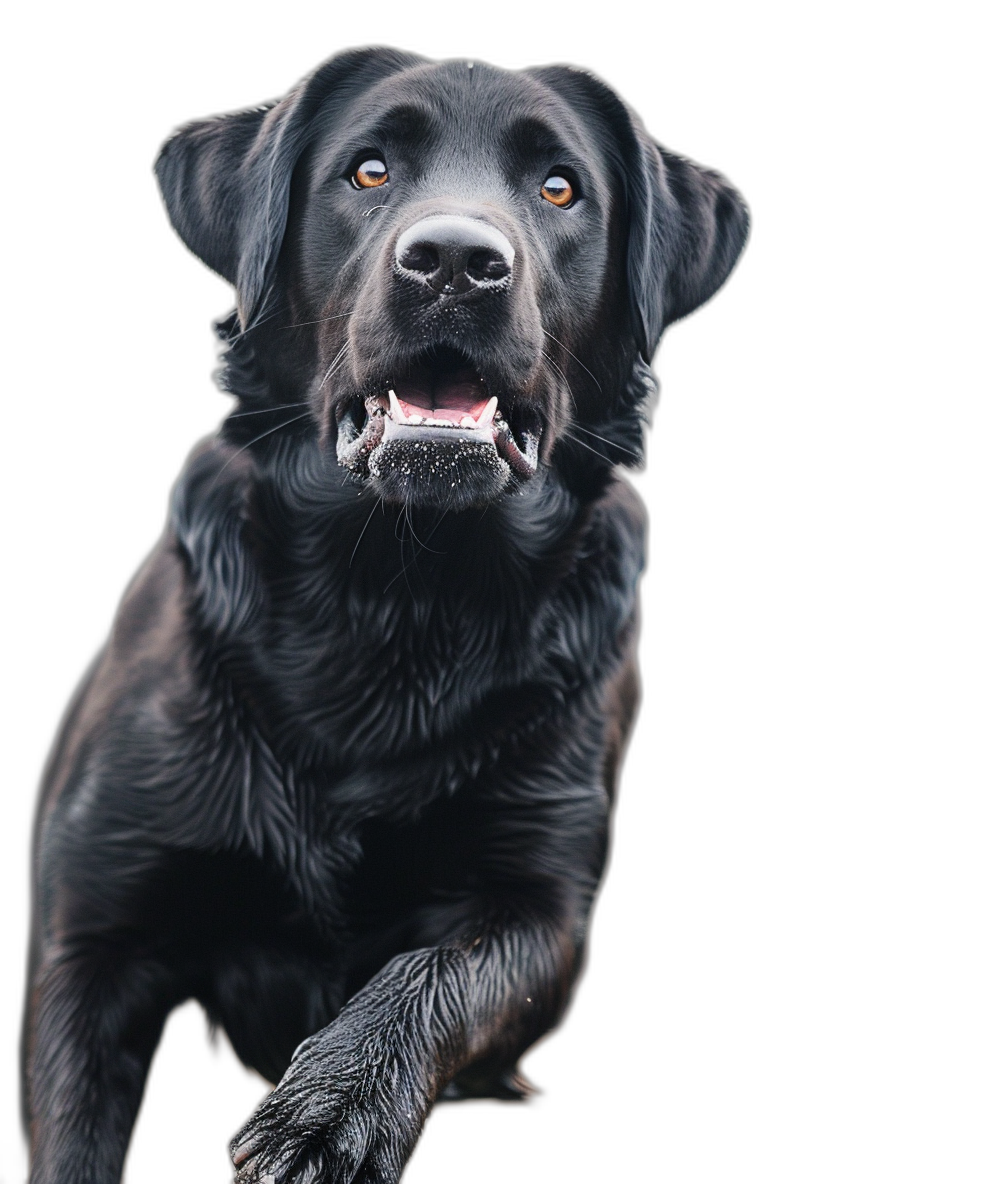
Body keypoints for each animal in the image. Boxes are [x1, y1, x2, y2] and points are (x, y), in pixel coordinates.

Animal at [23, 41, 748, 1179]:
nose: (454, 259)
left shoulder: (541, 908)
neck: (398, 590)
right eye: (367, 172)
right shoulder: (95, 933)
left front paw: (330, 1109)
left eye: (560, 189)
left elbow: (433, 969)